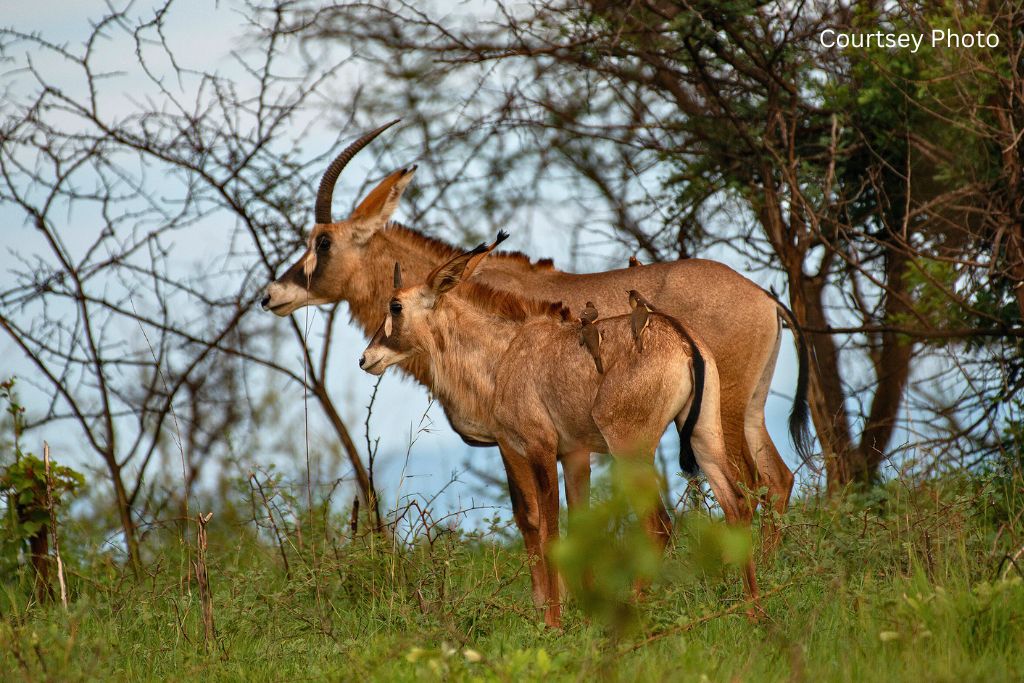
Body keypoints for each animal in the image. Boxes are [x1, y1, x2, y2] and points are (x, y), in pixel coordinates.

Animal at [264, 121, 815, 528]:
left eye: (323, 242)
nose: (271, 294)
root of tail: (765, 299)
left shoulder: (519, 441)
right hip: (747, 409)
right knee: (778, 479)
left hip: (717, 416)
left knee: (753, 484)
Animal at [356, 236, 757, 630]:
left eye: (395, 305)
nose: (364, 359)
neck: (504, 351)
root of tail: (683, 341)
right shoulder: (575, 455)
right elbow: (579, 530)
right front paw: (585, 613)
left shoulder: (539, 449)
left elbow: (549, 534)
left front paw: (553, 621)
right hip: (704, 435)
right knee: (736, 503)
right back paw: (753, 610)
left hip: (630, 447)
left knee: (659, 525)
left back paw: (634, 610)